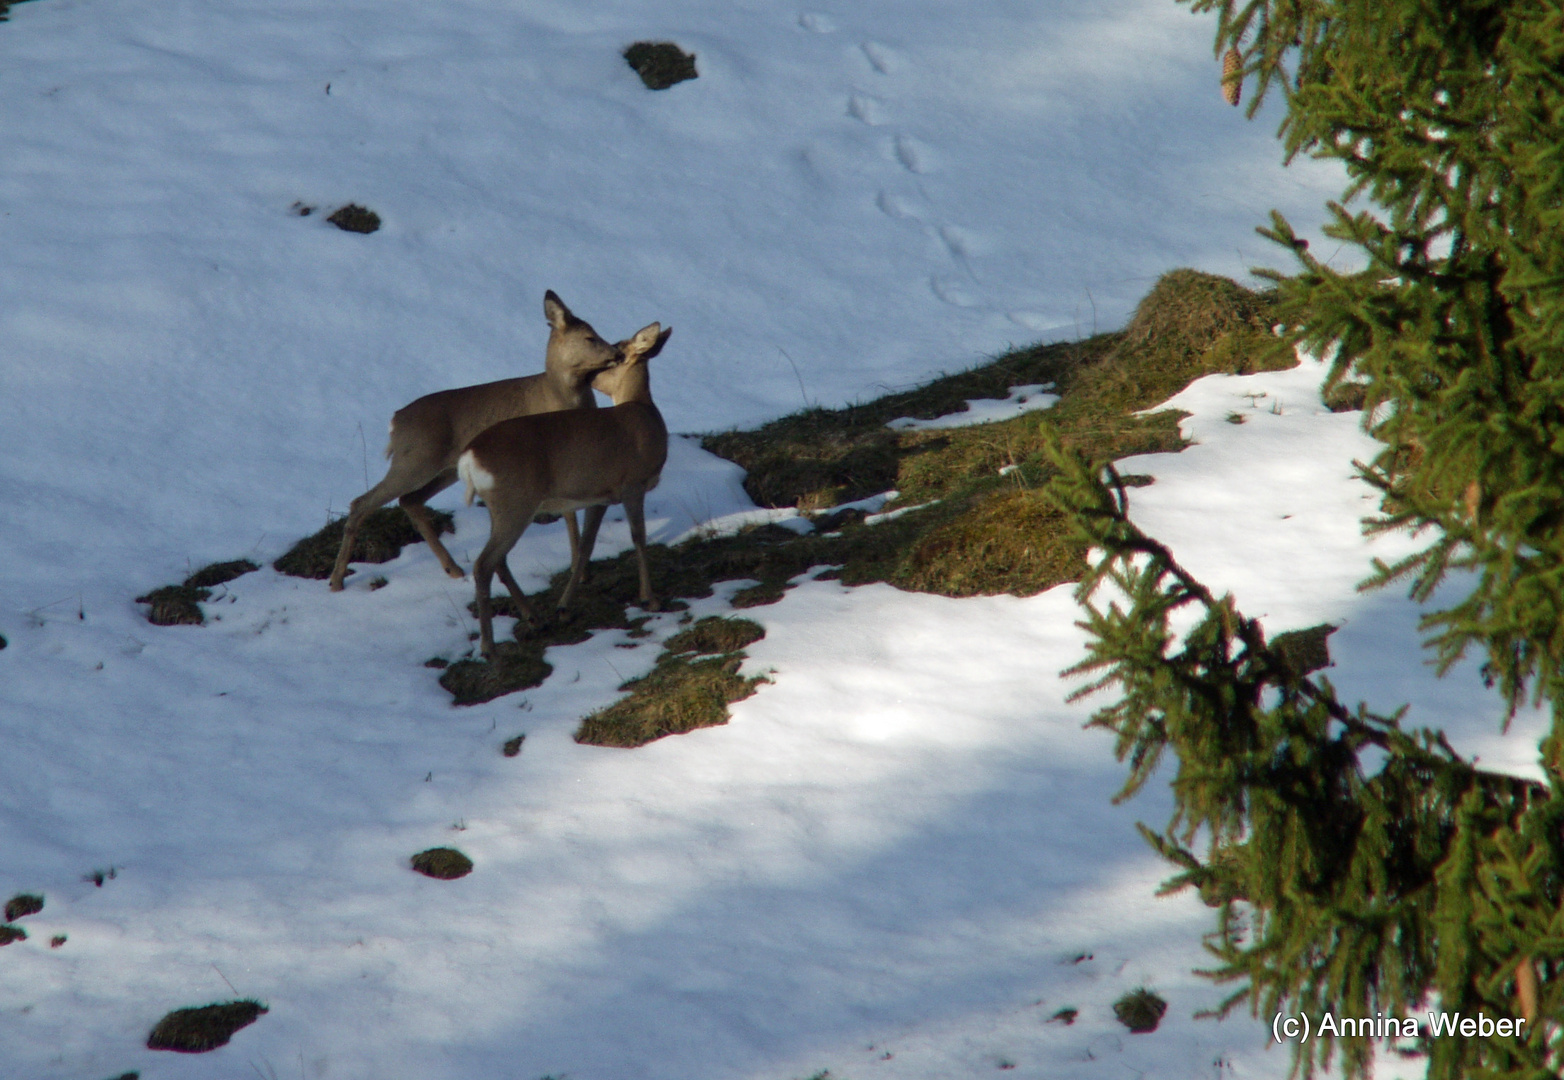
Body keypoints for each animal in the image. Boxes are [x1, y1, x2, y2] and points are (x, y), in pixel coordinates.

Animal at [456, 320, 669, 659]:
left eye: (616, 353)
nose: (590, 376)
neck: (644, 414)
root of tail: (469, 457)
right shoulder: (632, 484)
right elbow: (639, 536)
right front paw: (650, 598)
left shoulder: (601, 496)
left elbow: (585, 546)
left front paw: (564, 608)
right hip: (515, 503)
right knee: (483, 564)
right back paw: (489, 646)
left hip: (498, 507)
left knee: (498, 560)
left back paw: (535, 619)